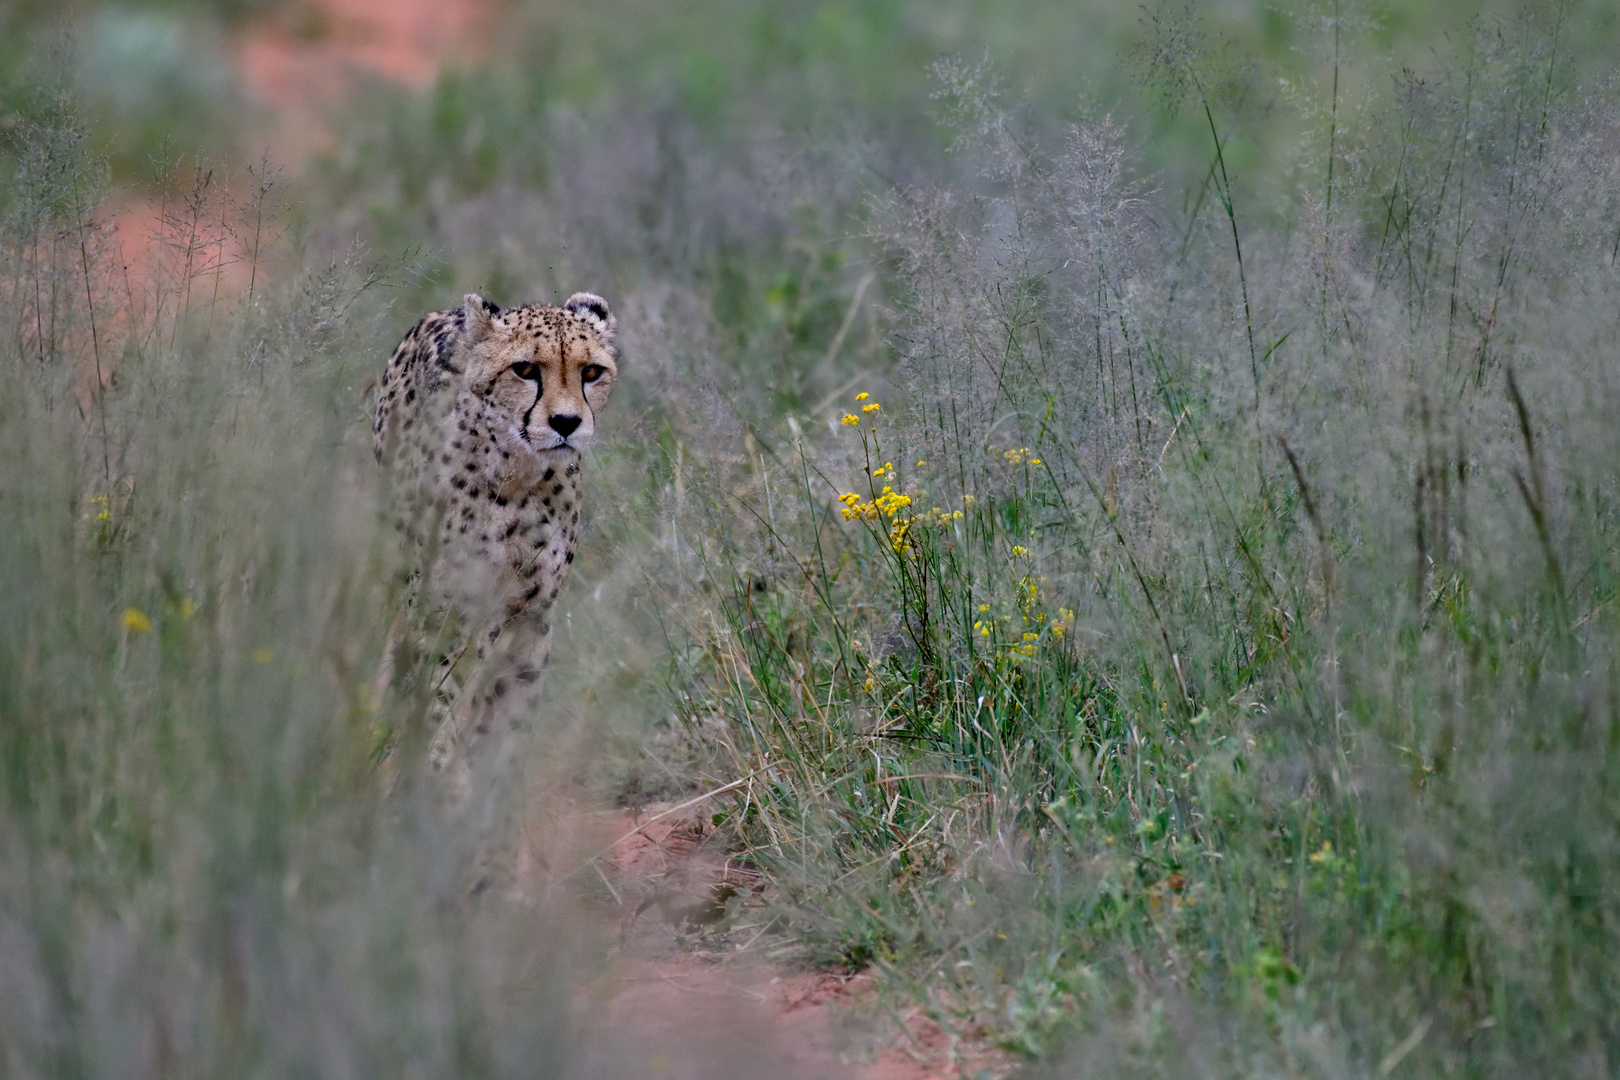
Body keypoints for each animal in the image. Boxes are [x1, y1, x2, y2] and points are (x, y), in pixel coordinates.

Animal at [372, 293, 618, 786]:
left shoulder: (532, 611)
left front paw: (492, 782)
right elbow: (437, 694)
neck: (516, 476)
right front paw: (432, 774)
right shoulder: (445, 605)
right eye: (524, 370)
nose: (566, 422)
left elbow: (512, 707)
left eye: (591, 372)